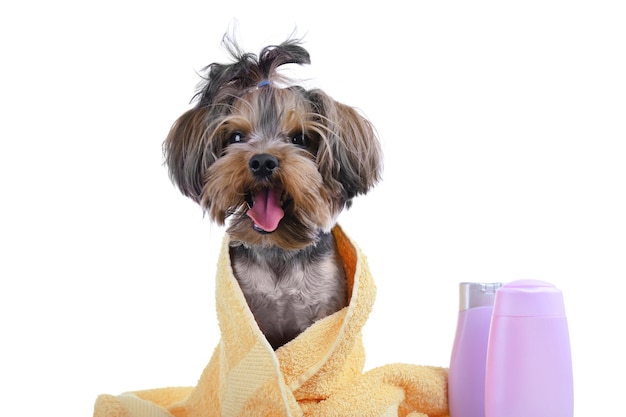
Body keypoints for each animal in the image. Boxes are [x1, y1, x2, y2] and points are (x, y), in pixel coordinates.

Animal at [162, 35, 380, 348]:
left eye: (300, 139)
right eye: (236, 137)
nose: (263, 161)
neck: (278, 249)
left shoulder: (325, 312)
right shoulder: (252, 315)